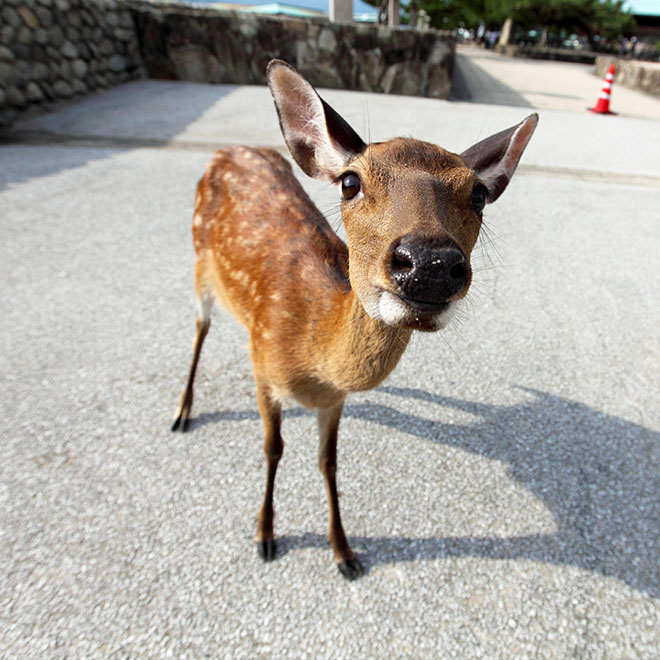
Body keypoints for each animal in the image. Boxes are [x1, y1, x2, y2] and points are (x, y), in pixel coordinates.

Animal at [173, 59, 540, 580]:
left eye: (479, 195)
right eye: (350, 182)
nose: (428, 263)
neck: (311, 354)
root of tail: (229, 150)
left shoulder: (335, 401)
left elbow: (328, 462)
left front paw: (343, 551)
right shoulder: (262, 366)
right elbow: (272, 448)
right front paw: (264, 534)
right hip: (200, 265)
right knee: (200, 328)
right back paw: (183, 411)